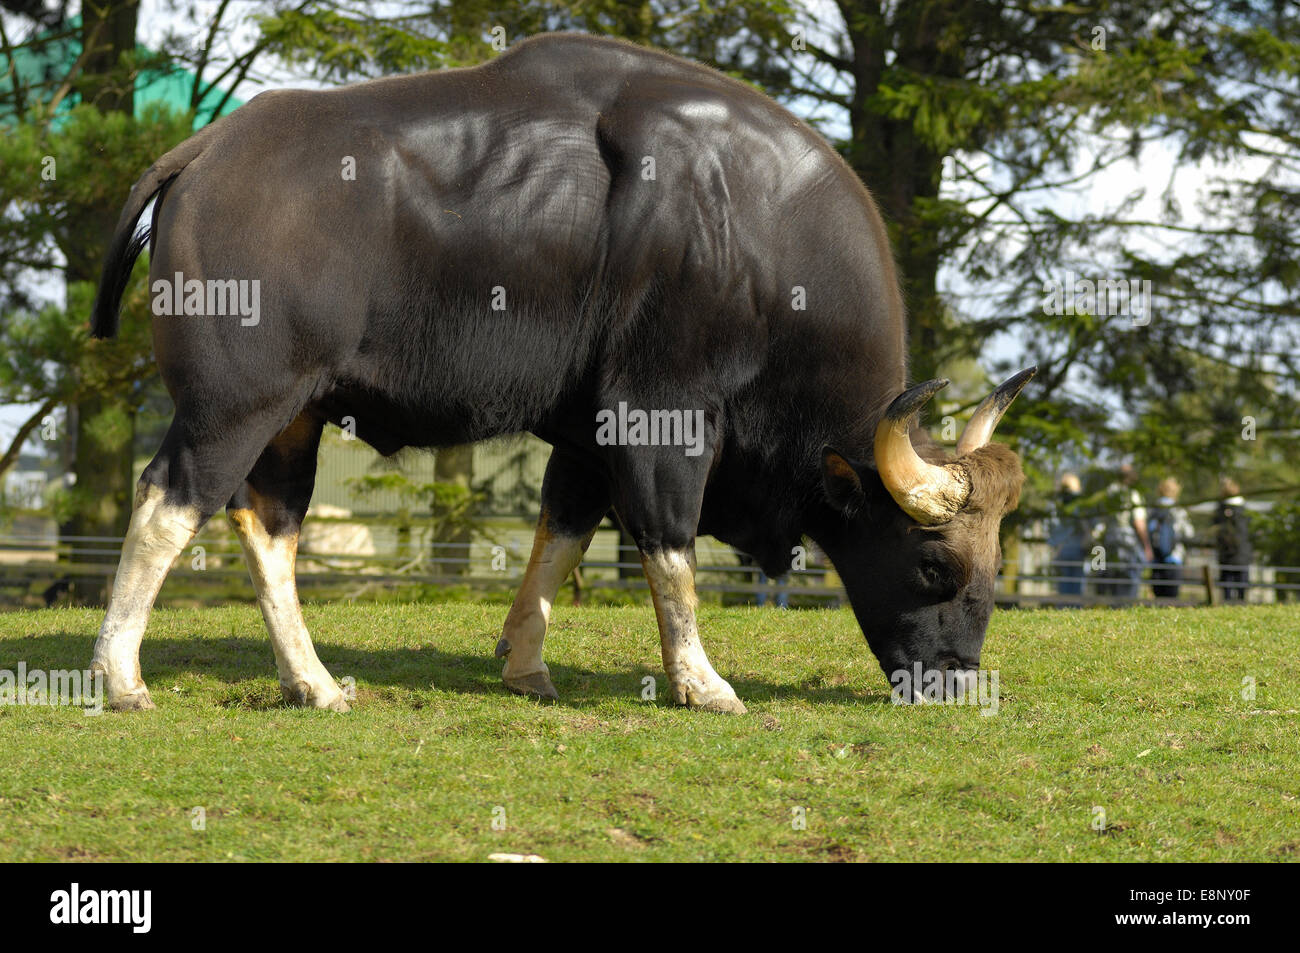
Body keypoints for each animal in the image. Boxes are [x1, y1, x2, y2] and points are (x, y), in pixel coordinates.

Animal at [89, 33, 1034, 712]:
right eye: (932, 566)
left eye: (995, 567)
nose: (956, 679)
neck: (758, 237)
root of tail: (205, 151)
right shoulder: (662, 413)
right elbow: (668, 543)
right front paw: (701, 682)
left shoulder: (586, 435)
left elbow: (564, 534)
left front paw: (525, 663)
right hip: (234, 403)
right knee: (169, 501)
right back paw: (121, 676)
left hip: (296, 413)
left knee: (268, 523)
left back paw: (310, 682)